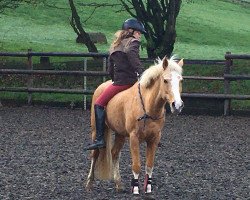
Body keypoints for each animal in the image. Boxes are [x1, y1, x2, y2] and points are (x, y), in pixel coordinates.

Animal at [85, 56, 184, 195]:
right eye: (165, 80)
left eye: (180, 80)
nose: (178, 105)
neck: (147, 107)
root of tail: (102, 86)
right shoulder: (134, 138)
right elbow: (136, 166)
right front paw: (136, 189)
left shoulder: (154, 139)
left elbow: (149, 165)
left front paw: (148, 188)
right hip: (96, 130)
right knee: (95, 154)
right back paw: (89, 183)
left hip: (120, 134)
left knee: (114, 153)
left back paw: (118, 184)